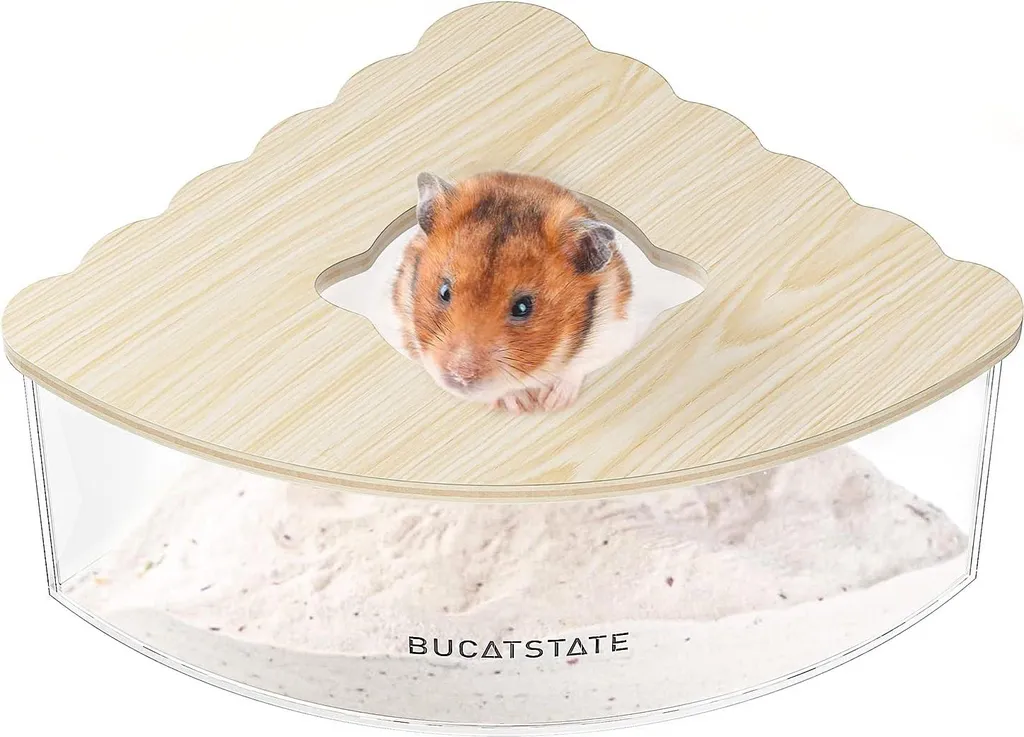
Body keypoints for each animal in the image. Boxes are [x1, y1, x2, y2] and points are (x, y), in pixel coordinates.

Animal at [392, 171, 634, 413]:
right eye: (444, 292)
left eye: (522, 307)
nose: (460, 377)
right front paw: (522, 405)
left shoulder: (615, 328)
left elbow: (575, 368)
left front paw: (550, 404)